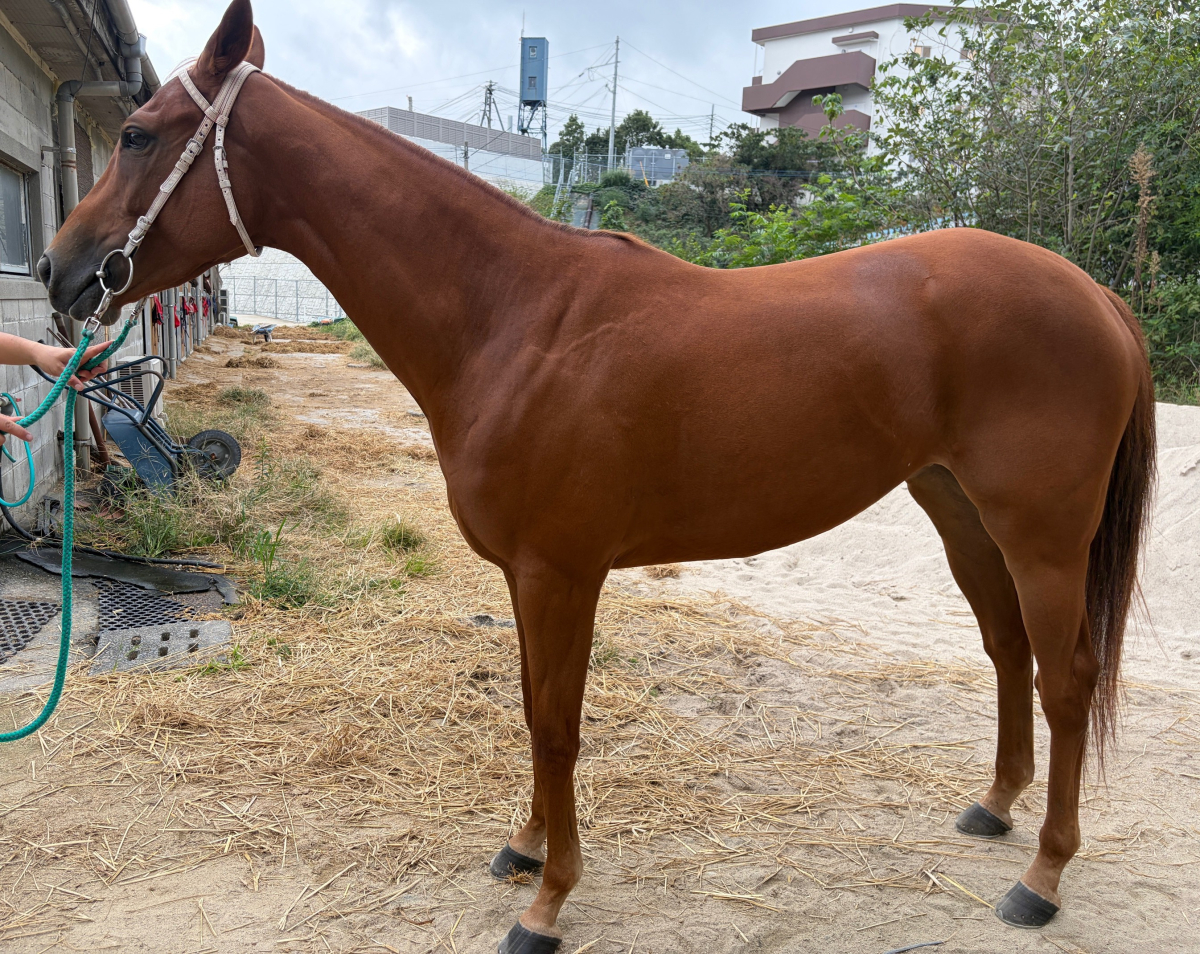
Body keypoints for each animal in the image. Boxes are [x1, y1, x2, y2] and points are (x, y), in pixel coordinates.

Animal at [38, 1, 1155, 949]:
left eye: (139, 133)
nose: (59, 269)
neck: (516, 318)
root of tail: (1096, 297)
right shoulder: (525, 575)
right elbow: (533, 709)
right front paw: (525, 848)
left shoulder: (561, 572)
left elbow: (557, 724)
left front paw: (547, 903)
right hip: (960, 512)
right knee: (1008, 653)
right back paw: (992, 810)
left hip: (1042, 534)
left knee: (1065, 677)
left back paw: (1041, 880)